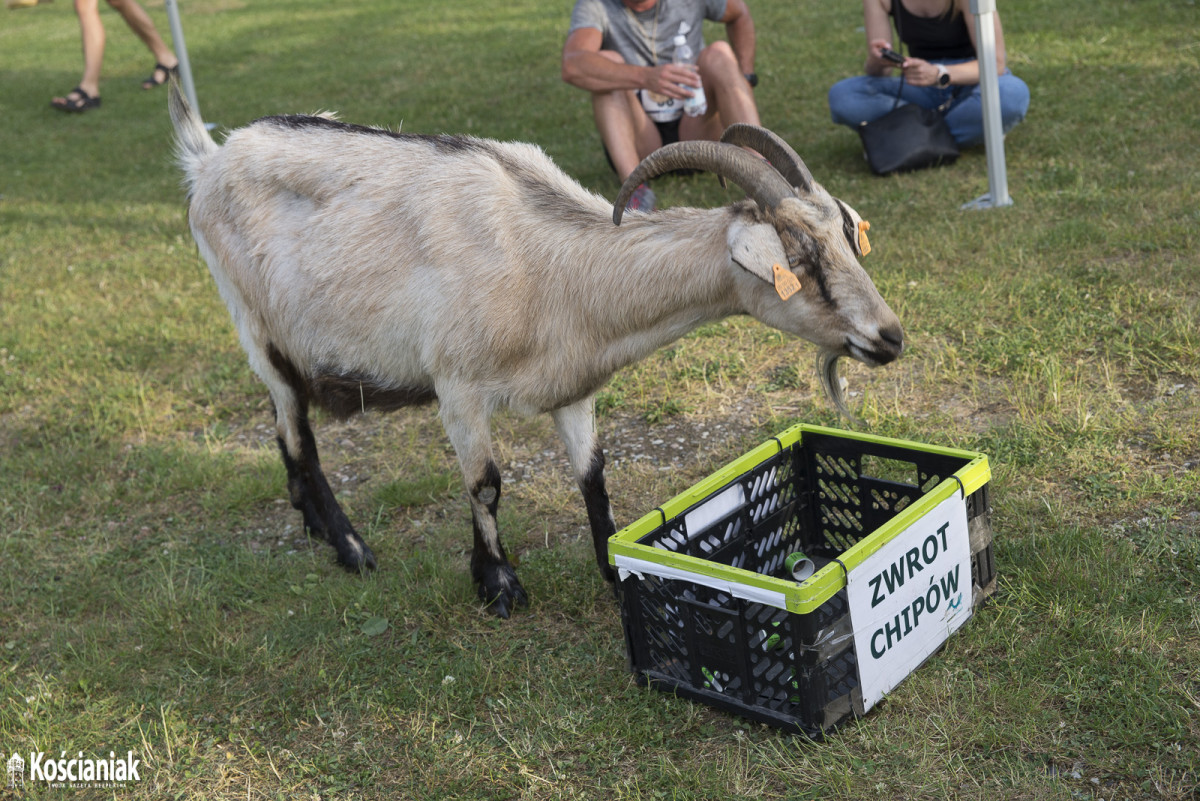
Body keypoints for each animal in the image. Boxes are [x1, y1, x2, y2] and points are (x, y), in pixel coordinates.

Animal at [169, 84, 902, 618]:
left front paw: (614, 572)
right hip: (255, 325)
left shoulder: (573, 388)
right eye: (802, 259)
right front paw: (498, 586)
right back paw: (350, 547)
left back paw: (321, 530)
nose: (890, 337)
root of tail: (207, 159)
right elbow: (486, 484)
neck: (551, 266)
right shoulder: (457, 385)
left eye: (847, 236)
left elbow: (594, 476)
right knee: (295, 430)